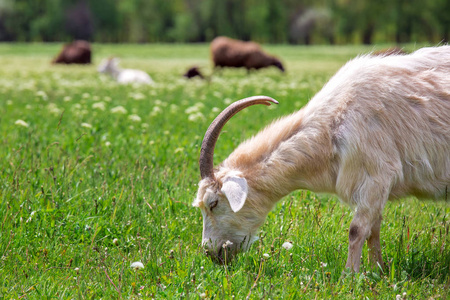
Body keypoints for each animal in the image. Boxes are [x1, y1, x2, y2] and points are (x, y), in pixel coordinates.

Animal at [193, 45, 450, 272]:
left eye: (213, 203)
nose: (211, 253)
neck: (332, 125)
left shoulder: (376, 173)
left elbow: (357, 230)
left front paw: (350, 275)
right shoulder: (373, 186)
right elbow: (373, 229)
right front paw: (377, 270)